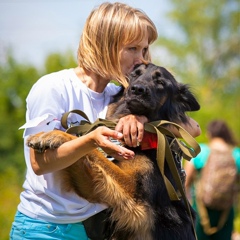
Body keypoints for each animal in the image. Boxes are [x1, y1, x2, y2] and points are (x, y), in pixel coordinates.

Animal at [27, 62, 200, 239]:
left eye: (160, 82)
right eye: (135, 75)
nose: (137, 89)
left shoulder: (132, 195)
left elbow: (92, 151)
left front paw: (54, 135)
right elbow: (82, 152)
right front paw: (47, 134)